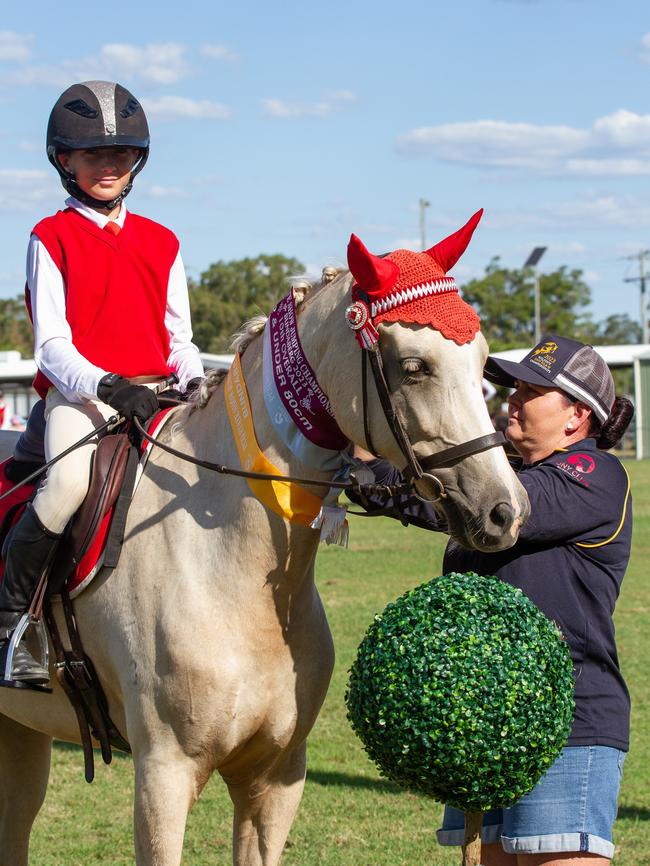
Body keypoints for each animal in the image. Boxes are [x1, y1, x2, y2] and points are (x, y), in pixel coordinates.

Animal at [0, 256, 528, 856]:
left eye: (483, 361)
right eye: (413, 366)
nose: (505, 511)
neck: (236, 576)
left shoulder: (275, 777)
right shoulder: (164, 772)